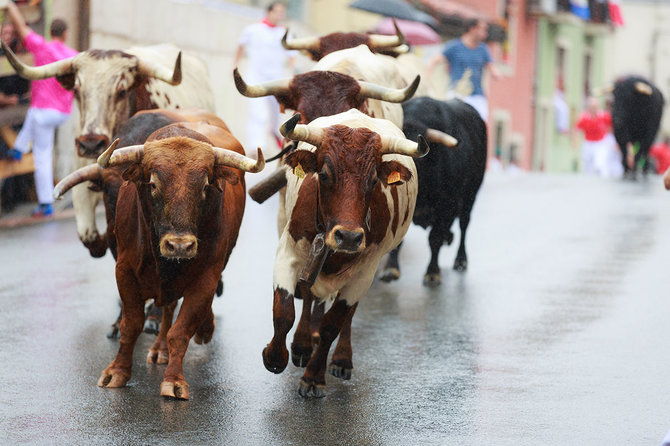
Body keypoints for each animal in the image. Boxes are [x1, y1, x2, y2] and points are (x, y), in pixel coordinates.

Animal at [92, 120, 266, 398]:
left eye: (205, 186)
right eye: (153, 184)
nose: (180, 246)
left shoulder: (206, 277)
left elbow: (181, 331)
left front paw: (173, 380)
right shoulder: (124, 270)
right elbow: (131, 325)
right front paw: (116, 372)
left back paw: (201, 330)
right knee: (168, 307)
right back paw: (159, 348)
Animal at [264, 109, 428, 398]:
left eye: (373, 180)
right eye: (324, 174)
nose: (349, 237)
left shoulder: (365, 272)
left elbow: (332, 325)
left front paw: (314, 377)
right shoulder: (289, 251)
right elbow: (283, 310)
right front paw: (274, 357)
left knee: (347, 316)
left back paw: (341, 359)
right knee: (308, 296)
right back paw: (302, 345)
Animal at [378, 97, 488, 286]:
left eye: (418, 159)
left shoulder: (446, 208)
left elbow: (434, 239)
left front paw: (432, 272)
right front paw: (391, 269)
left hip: (470, 195)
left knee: (464, 224)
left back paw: (460, 260)